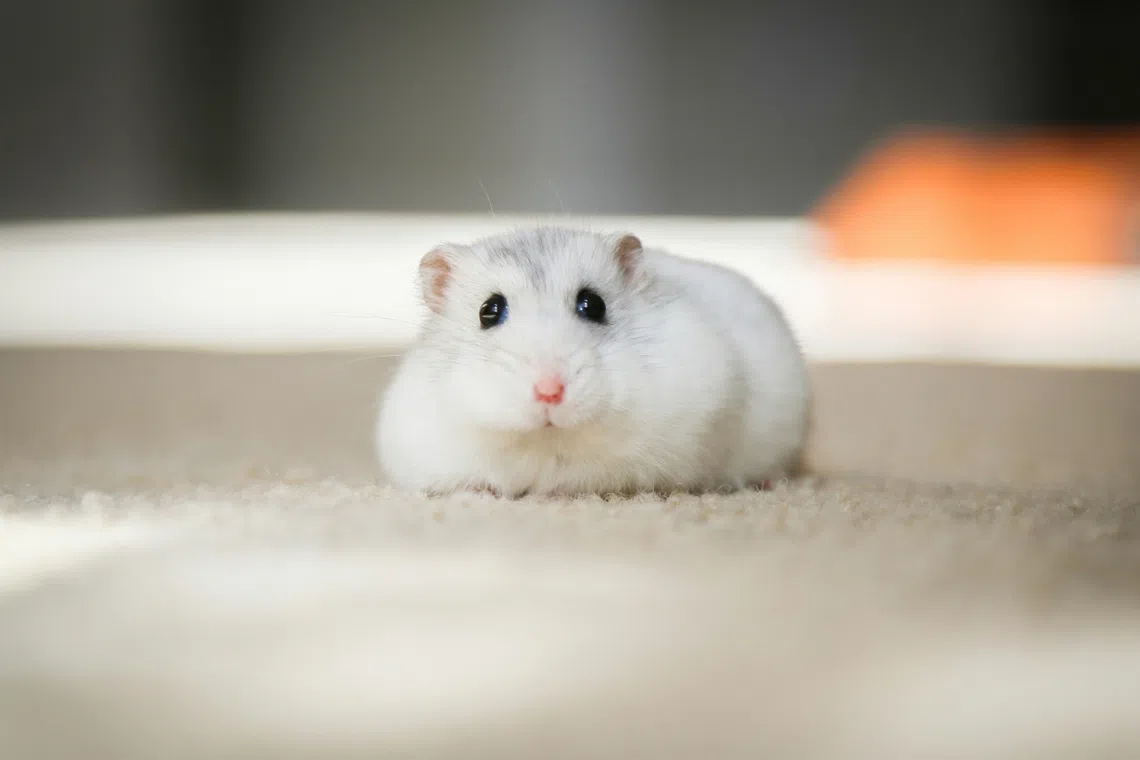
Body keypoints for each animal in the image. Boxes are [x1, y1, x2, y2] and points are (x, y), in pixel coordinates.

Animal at [375, 226, 810, 498]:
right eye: (489, 311)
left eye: (593, 304)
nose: (549, 392)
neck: (547, 438)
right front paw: (476, 496)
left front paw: (548, 493)